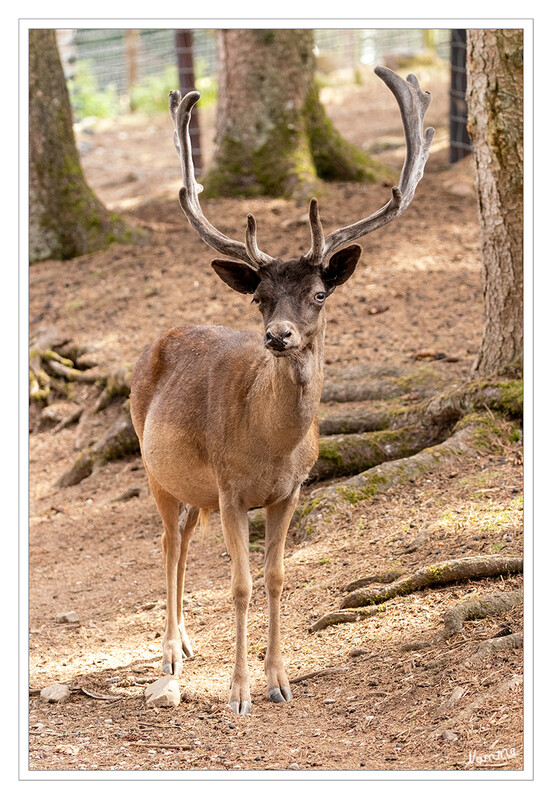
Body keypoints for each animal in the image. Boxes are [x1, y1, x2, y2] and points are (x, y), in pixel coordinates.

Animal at [129, 64, 432, 712]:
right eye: (260, 298)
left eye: (319, 293)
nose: (278, 336)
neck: (272, 447)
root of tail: (158, 339)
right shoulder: (230, 489)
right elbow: (240, 585)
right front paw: (240, 692)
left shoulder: (291, 489)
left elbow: (275, 578)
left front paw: (280, 681)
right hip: (154, 466)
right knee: (167, 543)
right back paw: (168, 655)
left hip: (189, 484)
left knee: (183, 540)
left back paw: (186, 643)